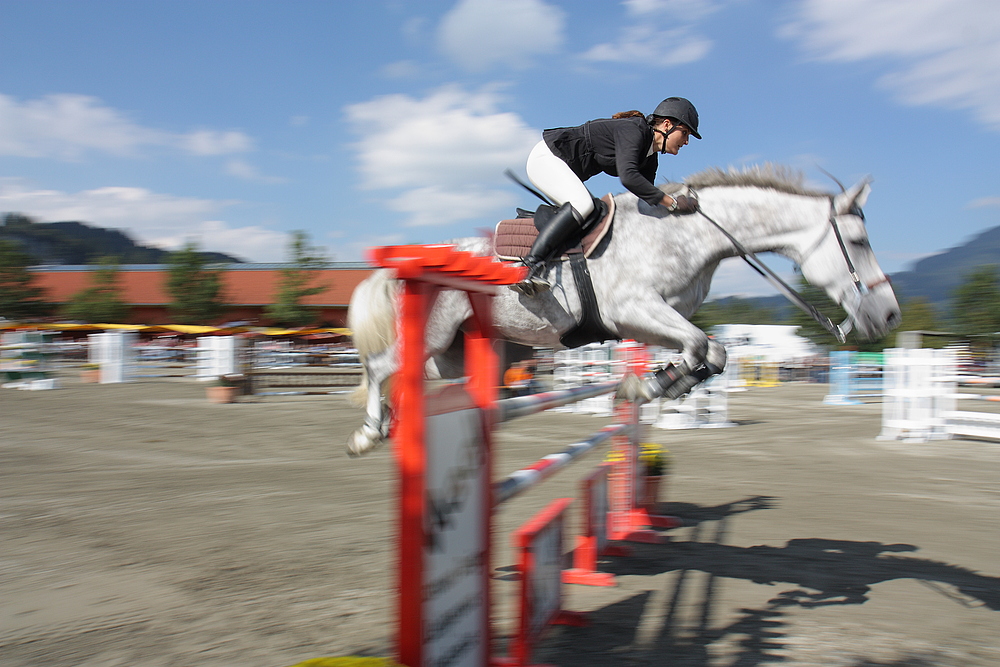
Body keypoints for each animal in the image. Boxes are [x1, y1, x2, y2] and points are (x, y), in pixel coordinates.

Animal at [348, 165, 904, 456]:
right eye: (858, 241)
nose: (889, 317)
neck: (687, 233)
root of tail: (411, 259)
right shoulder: (635, 310)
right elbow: (702, 344)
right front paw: (651, 387)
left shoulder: (657, 318)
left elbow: (713, 352)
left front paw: (658, 385)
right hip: (434, 335)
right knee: (379, 367)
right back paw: (368, 432)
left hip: (463, 352)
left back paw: (396, 424)